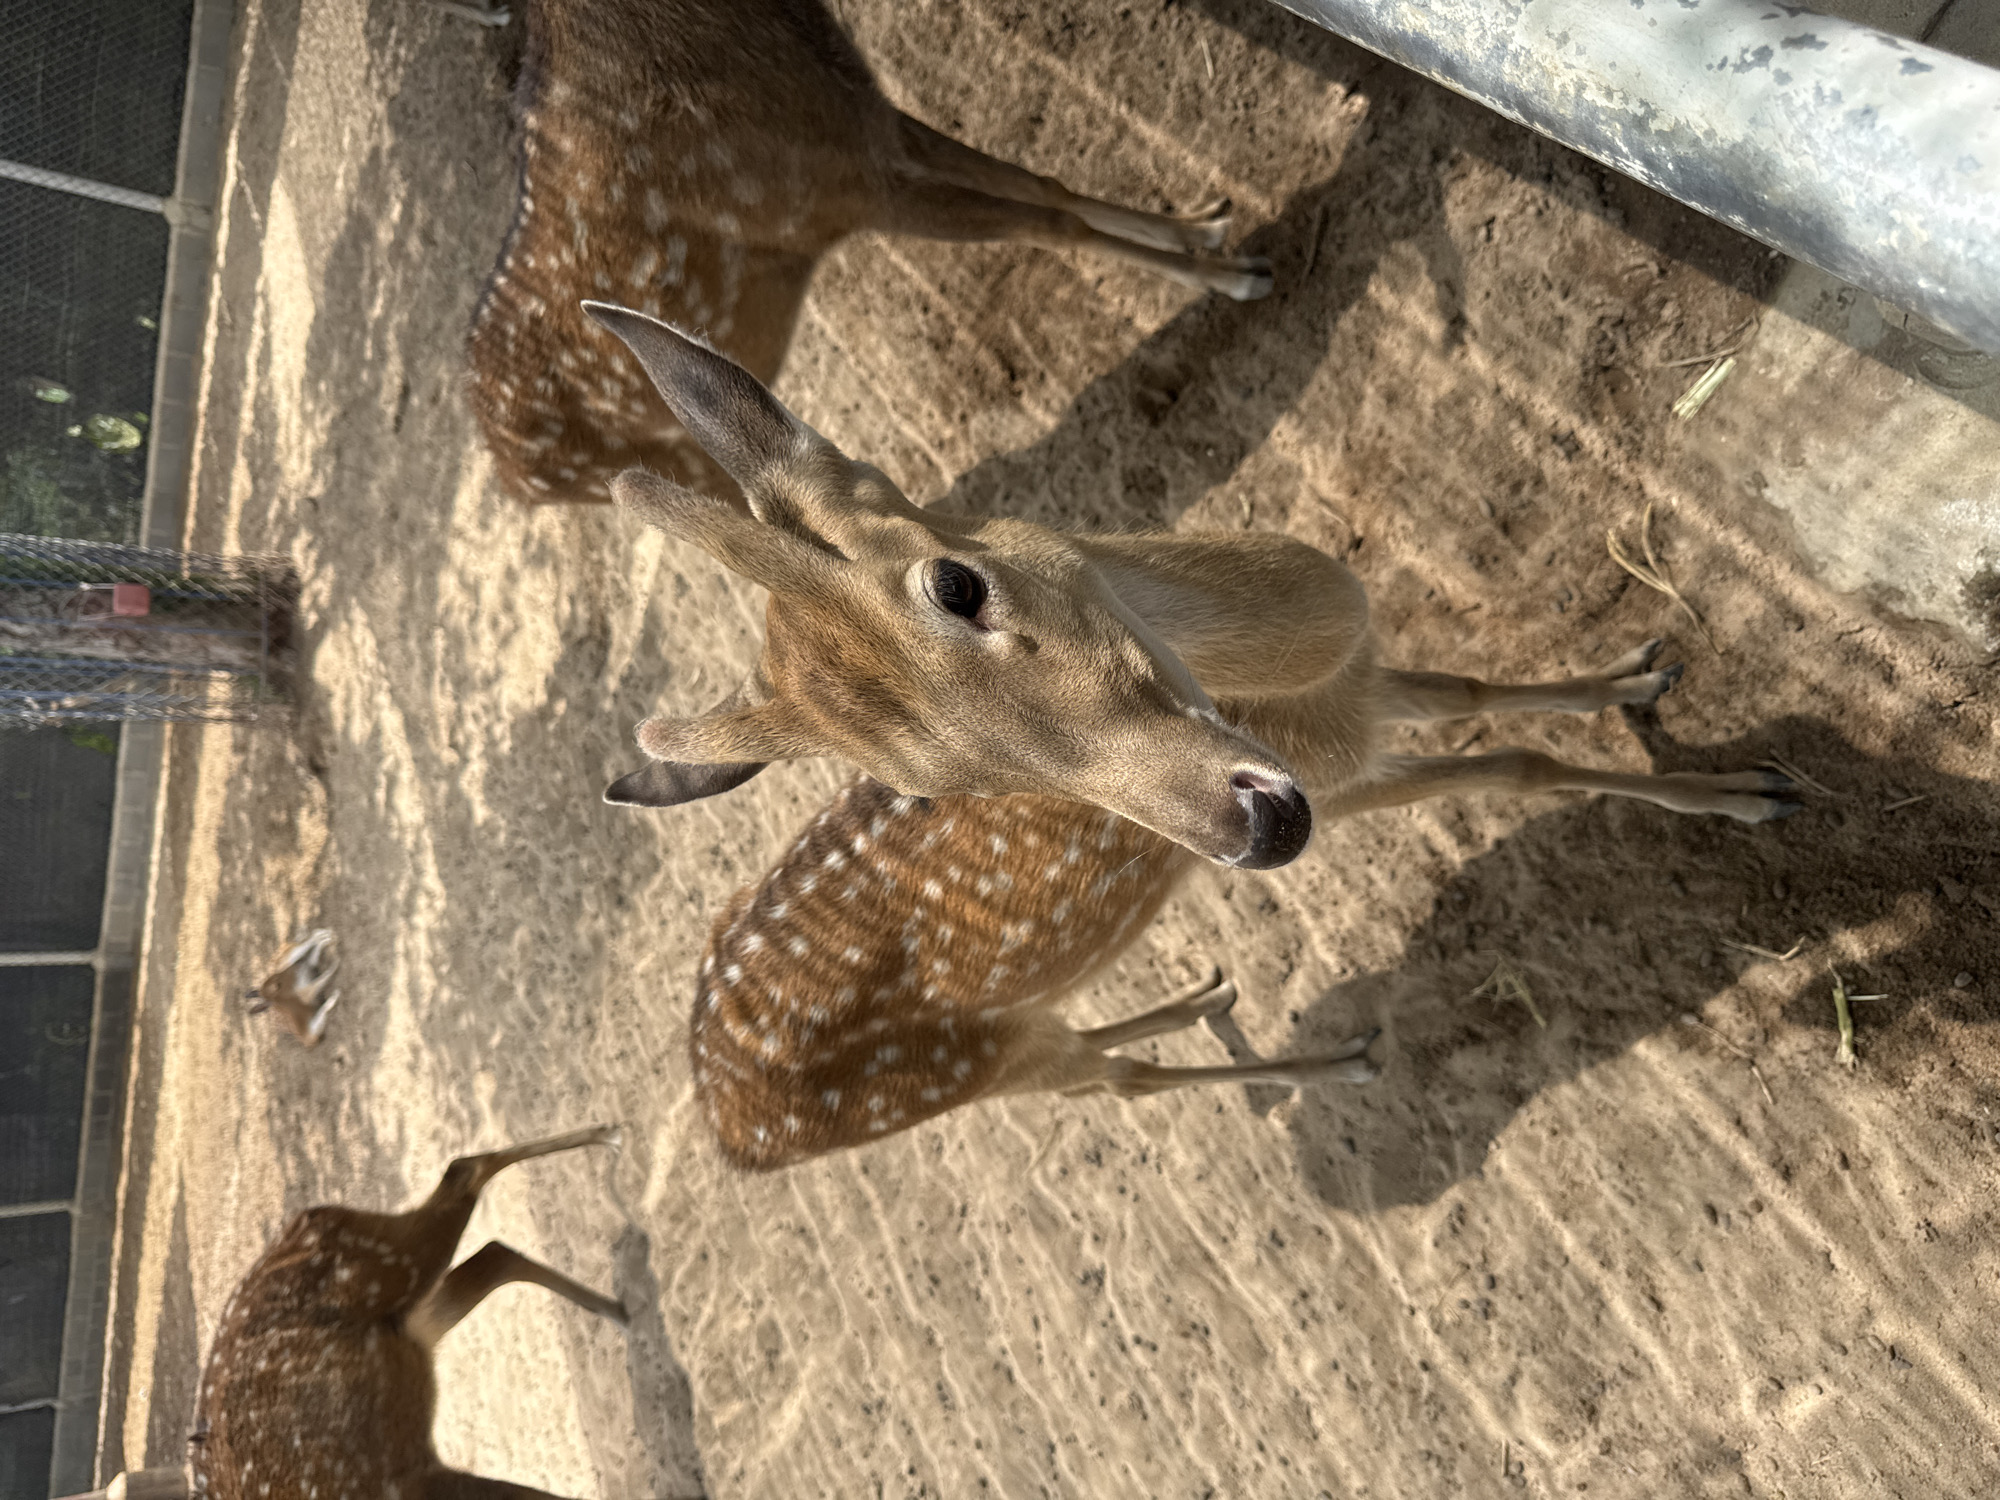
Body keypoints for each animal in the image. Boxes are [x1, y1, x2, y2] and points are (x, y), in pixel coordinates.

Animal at [184, 1125, 629, 1500]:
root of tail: (308, 1218)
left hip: (399, 1261)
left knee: (464, 1172)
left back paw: (611, 1136)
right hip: (416, 1321)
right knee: (493, 1251)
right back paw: (616, 1308)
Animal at [462, 0, 1271, 505]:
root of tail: (516, 481)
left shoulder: (867, 124)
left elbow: (1043, 183)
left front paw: (1207, 224)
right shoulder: (845, 191)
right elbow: (1048, 225)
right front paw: (1235, 275)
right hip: (682, 458)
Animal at [577, 302, 1800, 1169]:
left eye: (957, 584)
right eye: (932, 782)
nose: (1252, 826)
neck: (1307, 684)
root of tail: (731, 1132)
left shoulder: (1360, 698)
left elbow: (1469, 689)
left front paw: (1647, 674)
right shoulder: (1341, 781)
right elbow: (1511, 765)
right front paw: (1752, 791)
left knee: (1103, 1050)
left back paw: (1211, 997)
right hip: (960, 1075)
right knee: (1117, 1087)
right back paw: (1342, 1063)